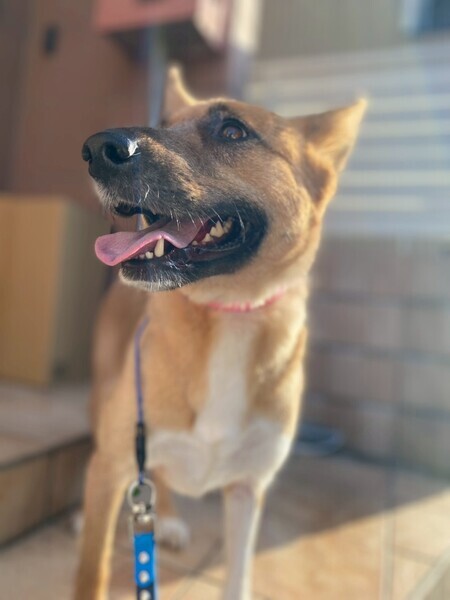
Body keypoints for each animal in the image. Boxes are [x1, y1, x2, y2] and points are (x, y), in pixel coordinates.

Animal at [75, 67, 366, 600]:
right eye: (162, 124)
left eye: (233, 131)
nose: (97, 148)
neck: (228, 312)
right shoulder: (116, 462)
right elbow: (91, 571)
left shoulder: (248, 490)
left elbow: (238, 576)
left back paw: (166, 519)